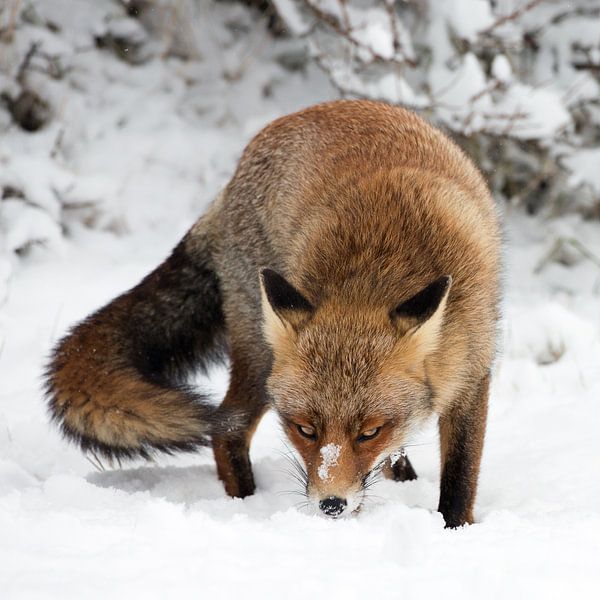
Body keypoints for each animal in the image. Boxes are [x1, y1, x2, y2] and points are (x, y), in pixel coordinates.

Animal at [44, 101, 500, 528]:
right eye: (304, 430)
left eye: (369, 432)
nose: (331, 505)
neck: (377, 270)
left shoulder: (470, 373)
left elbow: (459, 476)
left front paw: (453, 527)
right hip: (260, 355)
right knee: (225, 427)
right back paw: (244, 505)